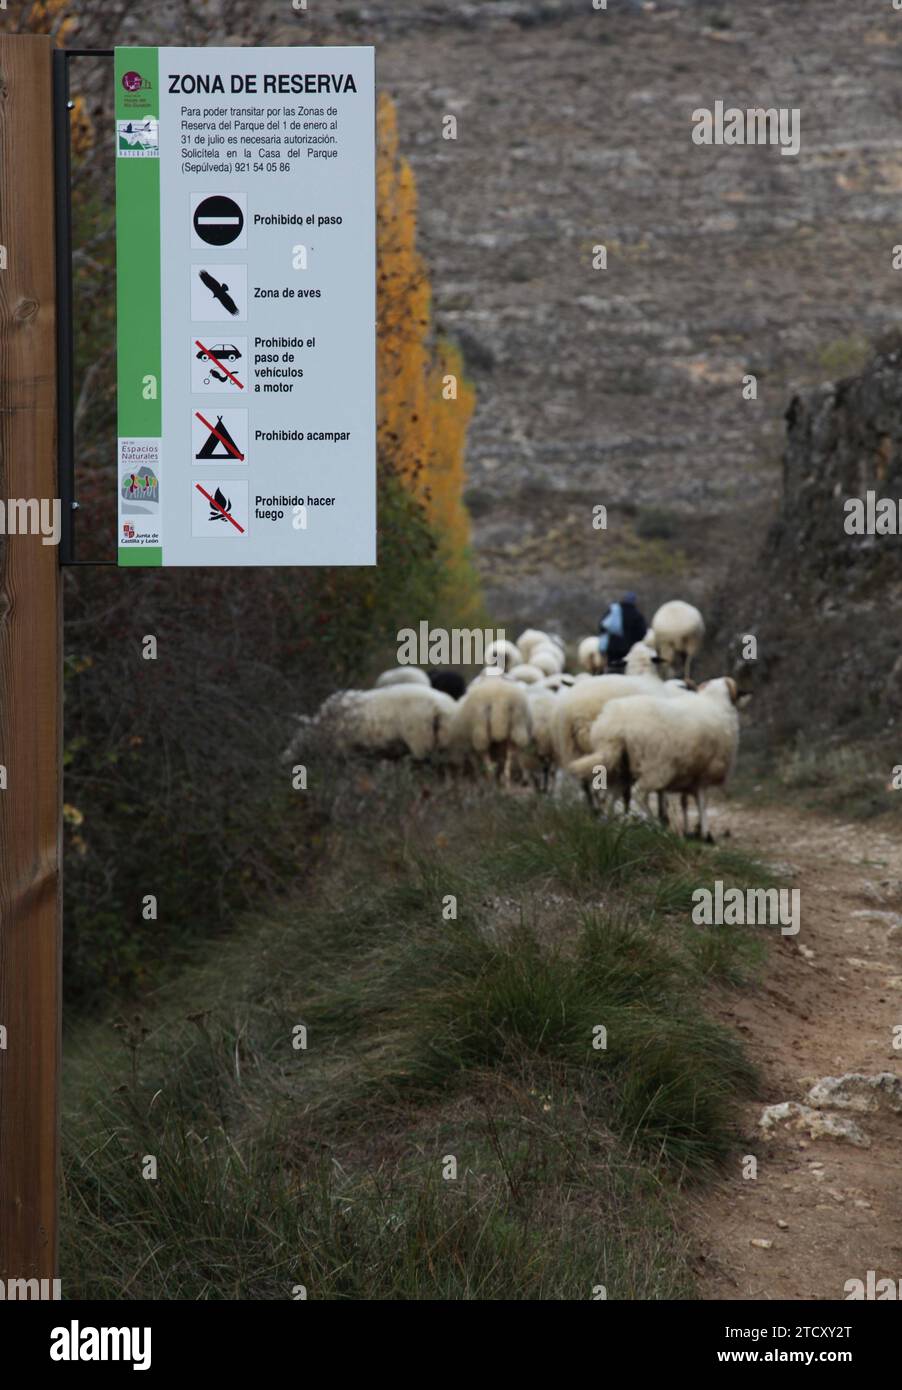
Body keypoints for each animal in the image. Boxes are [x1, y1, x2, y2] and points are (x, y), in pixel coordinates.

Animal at [567, 675, 744, 834]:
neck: (715, 702)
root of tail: (617, 728)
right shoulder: (704, 773)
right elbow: (702, 803)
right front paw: (705, 832)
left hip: (621, 768)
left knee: (611, 796)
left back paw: (610, 822)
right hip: (655, 766)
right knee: (638, 794)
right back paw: (654, 824)